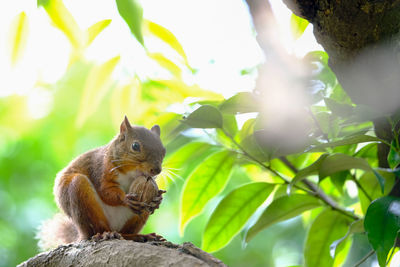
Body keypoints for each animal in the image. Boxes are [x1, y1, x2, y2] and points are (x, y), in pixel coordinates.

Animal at [38, 116, 166, 250]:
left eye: (164, 150)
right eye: (135, 146)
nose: (156, 170)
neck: (130, 174)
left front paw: (157, 199)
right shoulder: (100, 170)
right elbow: (105, 192)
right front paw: (126, 199)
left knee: (124, 233)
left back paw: (139, 236)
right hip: (83, 197)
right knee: (96, 229)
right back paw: (104, 234)